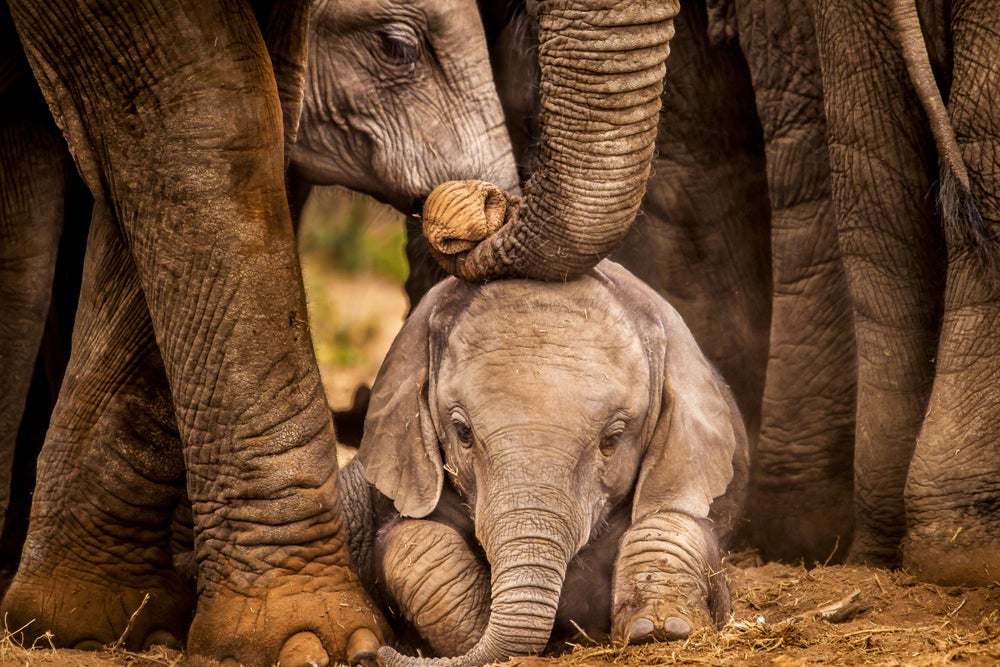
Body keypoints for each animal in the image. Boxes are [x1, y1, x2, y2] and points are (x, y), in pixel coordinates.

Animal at [340, 260, 748, 667]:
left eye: (612, 439)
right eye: (463, 432)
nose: (373, 655)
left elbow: (672, 521)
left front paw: (659, 630)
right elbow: (415, 540)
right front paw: (473, 631)